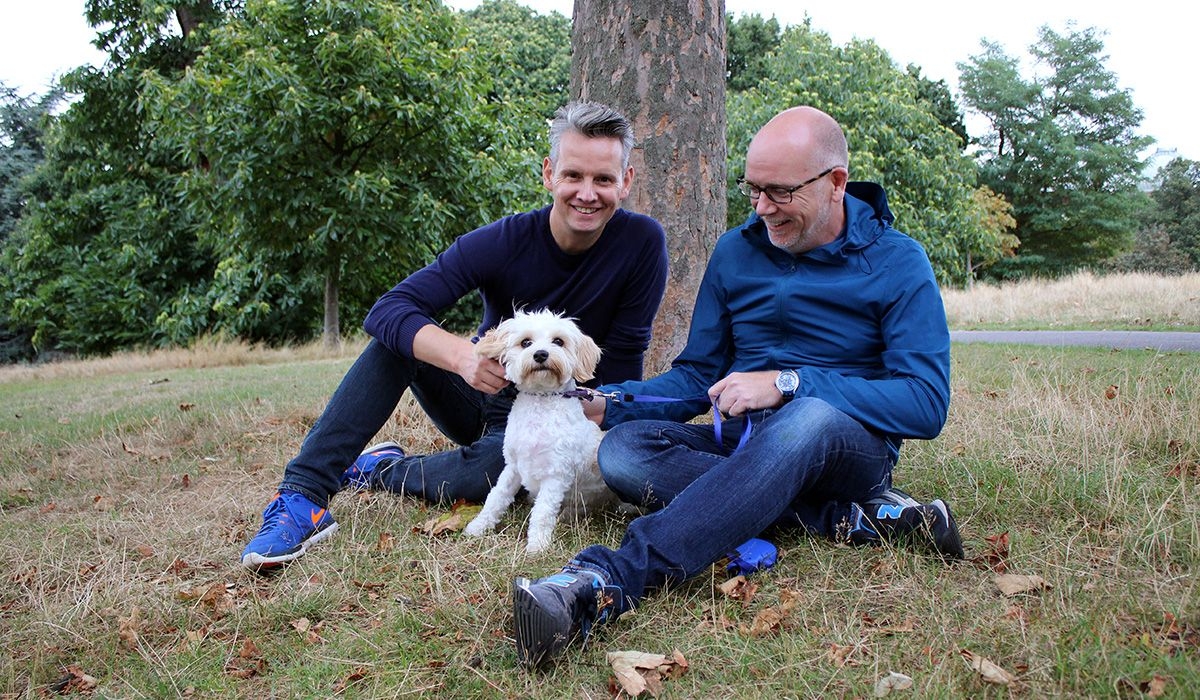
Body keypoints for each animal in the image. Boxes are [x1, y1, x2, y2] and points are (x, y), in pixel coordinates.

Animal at [465, 309, 619, 557]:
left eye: (558, 341)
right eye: (526, 342)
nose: (540, 354)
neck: (541, 402)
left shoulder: (555, 475)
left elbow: (543, 513)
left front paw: (537, 546)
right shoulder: (513, 467)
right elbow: (496, 498)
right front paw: (478, 526)